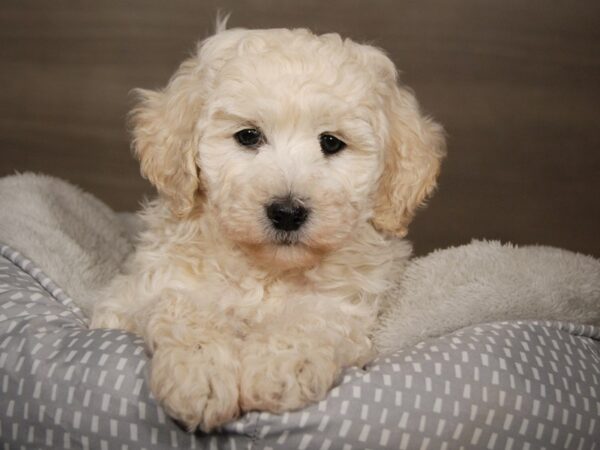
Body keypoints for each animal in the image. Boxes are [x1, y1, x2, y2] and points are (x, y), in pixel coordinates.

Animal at [90, 22, 446, 432]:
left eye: (331, 142)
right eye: (248, 136)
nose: (287, 212)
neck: (266, 271)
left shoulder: (346, 305)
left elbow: (311, 320)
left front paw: (279, 369)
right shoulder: (144, 290)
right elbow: (186, 308)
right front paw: (199, 374)